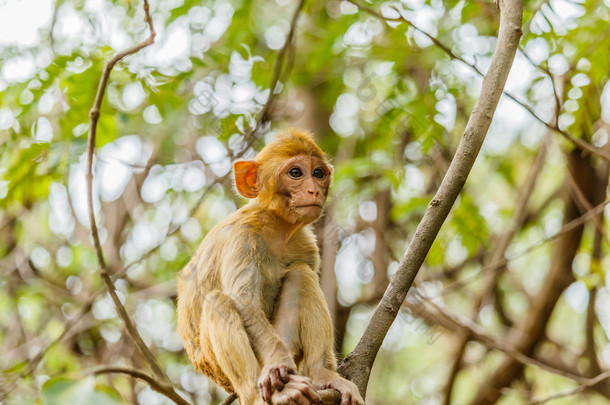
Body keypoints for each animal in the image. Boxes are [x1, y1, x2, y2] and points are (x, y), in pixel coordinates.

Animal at [178, 129, 364, 404]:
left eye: (318, 173)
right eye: (296, 172)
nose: (313, 191)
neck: (276, 226)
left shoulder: (306, 243)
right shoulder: (242, 238)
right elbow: (245, 303)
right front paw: (279, 363)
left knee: (301, 273)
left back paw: (321, 374)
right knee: (218, 302)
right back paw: (257, 394)